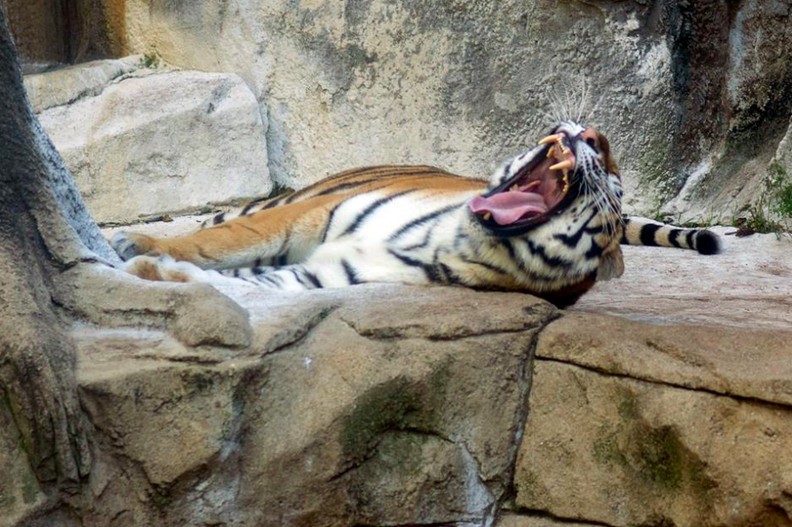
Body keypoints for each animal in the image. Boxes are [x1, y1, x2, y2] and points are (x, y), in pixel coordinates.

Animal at [111, 120, 721, 308]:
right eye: (603, 151)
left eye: (615, 186)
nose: (594, 134)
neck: (458, 237)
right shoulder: (306, 215)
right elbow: (216, 245)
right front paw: (142, 250)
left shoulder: (328, 274)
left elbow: (248, 284)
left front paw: (154, 272)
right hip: (290, 198)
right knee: (220, 222)